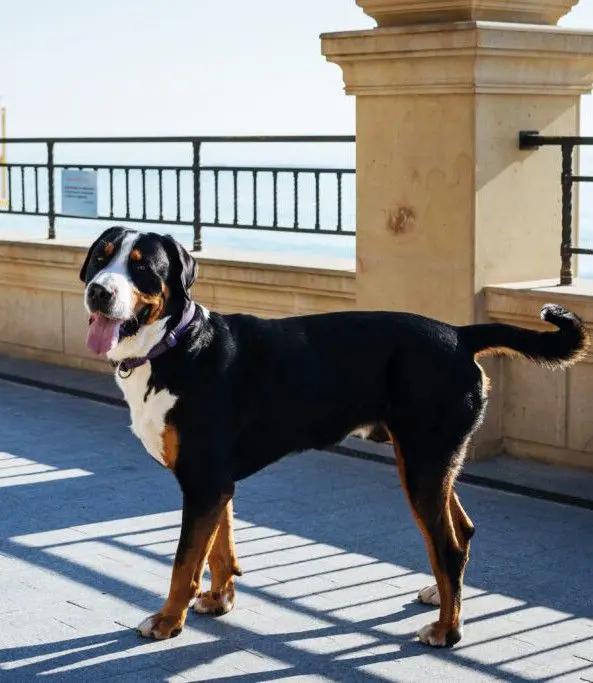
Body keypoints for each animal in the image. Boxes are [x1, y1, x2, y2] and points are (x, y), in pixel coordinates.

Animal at [78, 227, 588, 648]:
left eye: (143, 266)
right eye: (101, 257)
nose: (98, 291)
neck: (176, 345)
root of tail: (458, 334)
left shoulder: (202, 481)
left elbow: (184, 562)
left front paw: (167, 620)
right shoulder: (217, 484)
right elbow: (220, 549)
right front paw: (219, 600)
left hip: (423, 463)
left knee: (448, 545)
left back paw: (447, 630)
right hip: (430, 461)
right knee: (459, 532)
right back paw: (438, 597)